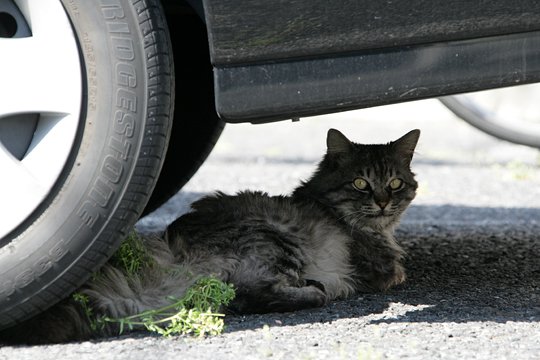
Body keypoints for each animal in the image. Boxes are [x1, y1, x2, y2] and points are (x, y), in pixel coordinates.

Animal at [2, 127, 420, 344]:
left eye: (396, 183)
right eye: (361, 183)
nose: (383, 202)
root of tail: (178, 258)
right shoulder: (379, 267)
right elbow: (394, 272)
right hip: (276, 241)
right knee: (250, 295)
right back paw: (315, 291)